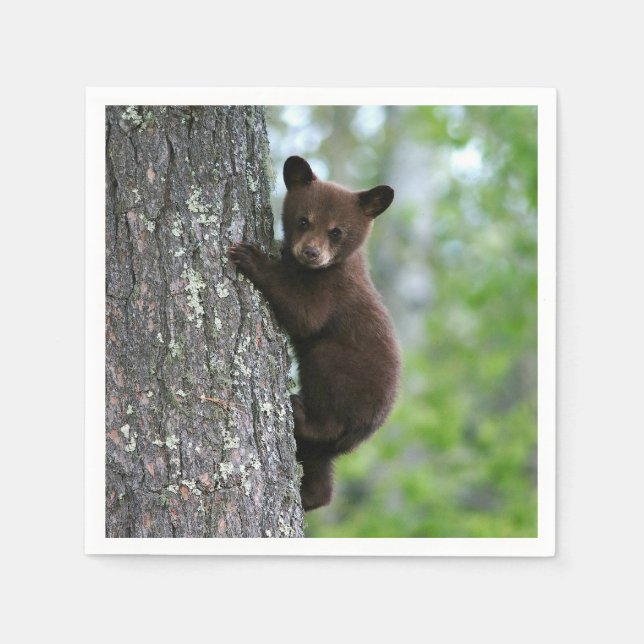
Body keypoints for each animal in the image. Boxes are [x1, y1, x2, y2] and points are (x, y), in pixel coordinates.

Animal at [229, 155, 401, 511]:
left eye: (336, 231)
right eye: (303, 221)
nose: (311, 252)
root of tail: (367, 430)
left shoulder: (332, 290)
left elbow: (304, 315)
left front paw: (253, 257)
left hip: (344, 376)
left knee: (326, 400)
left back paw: (300, 411)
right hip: (326, 451)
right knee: (321, 471)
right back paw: (310, 496)